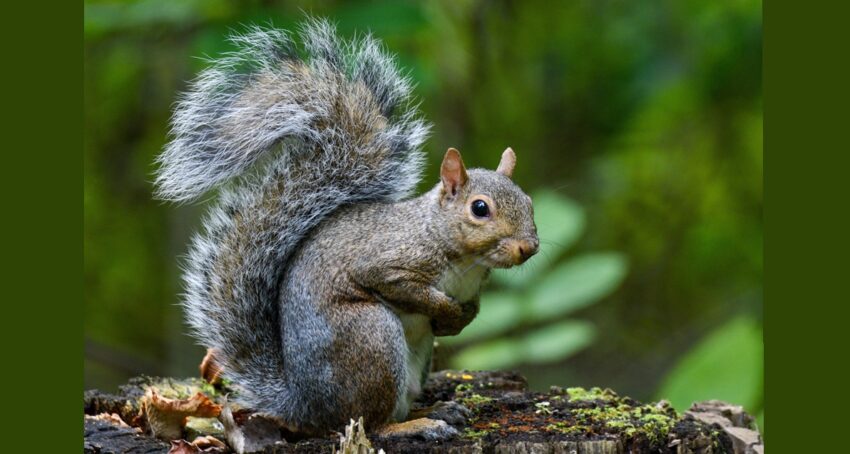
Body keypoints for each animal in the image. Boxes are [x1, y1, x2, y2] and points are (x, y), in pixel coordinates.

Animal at [154, 20, 538, 438]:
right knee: (371, 422)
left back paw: (439, 410)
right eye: (479, 208)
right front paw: (447, 310)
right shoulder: (388, 261)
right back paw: (417, 424)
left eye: (529, 202)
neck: (454, 249)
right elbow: (401, 286)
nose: (529, 248)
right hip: (371, 336)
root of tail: (303, 405)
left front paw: (460, 319)